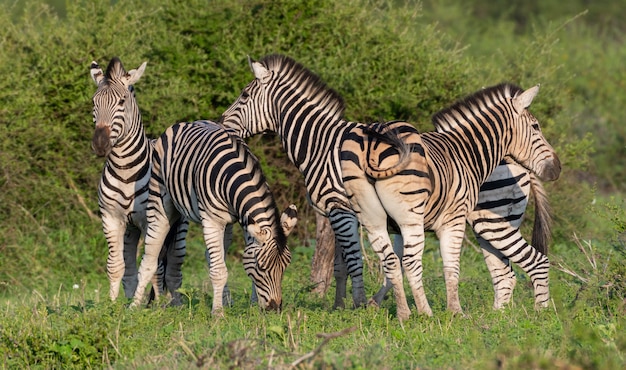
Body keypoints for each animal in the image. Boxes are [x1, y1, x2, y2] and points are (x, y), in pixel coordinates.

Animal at [89, 56, 188, 302]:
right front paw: (112, 304)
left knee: (172, 265)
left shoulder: (151, 220)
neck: (125, 170)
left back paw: (173, 303)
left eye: (122, 101)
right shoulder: (111, 217)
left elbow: (155, 267)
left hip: (178, 225)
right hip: (131, 228)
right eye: (94, 102)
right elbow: (115, 266)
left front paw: (155, 305)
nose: (100, 144)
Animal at [129, 120, 294, 314]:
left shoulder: (244, 220)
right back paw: (134, 306)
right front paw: (218, 313)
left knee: (212, 256)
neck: (233, 174)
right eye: (261, 266)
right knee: (150, 259)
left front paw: (251, 306)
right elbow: (219, 271)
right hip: (160, 200)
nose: (275, 309)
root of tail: (186, 123)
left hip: (225, 224)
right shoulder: (212, 220)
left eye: (285, 266)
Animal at [222, 54, 560, 318]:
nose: (223, 123)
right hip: (487, 223)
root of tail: (519, 165)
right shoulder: (341, 213)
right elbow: (341, 265)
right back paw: (498, 315)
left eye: (243, 96)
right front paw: (340, 306)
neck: (322, 143)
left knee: (527, 263)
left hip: (490, 219)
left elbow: (352, 261)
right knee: (505, 272)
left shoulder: (340, 208)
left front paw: (354, 306)